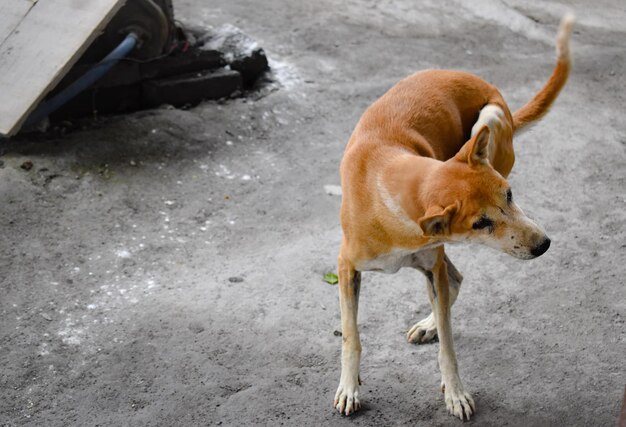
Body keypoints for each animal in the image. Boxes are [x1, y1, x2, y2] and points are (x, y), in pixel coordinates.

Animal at [334, 14, 572, 422]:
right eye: (481, 223)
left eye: (509, 194)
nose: (543, 245)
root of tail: (494, 91)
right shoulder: (347, 266)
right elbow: (352, 335)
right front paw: (350, 386)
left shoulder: (433, 263)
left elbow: (448, 343)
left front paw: (455, 390)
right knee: (454, 280)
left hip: (487, 122)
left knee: (453, 282)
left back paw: (431, 324)